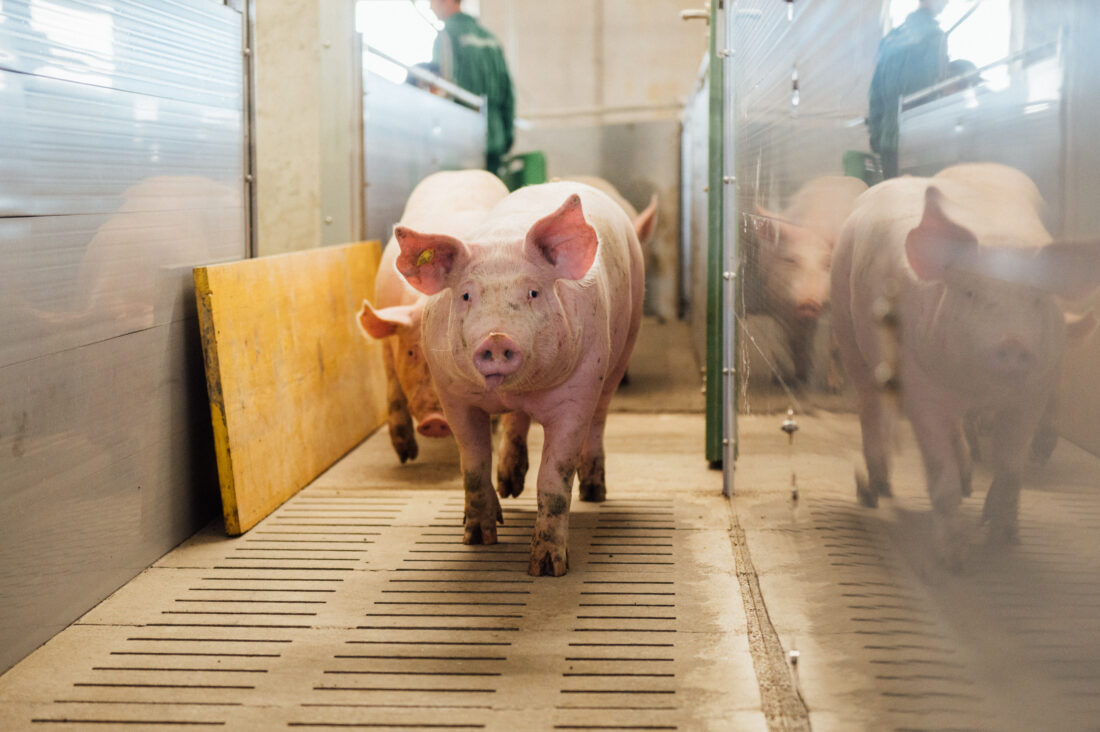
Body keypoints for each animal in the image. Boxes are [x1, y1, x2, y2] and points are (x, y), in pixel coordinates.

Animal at [392, 181, 645, 576]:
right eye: (466, 295)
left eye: (533, 292)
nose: (496, 338)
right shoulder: (452, 394)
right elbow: (473, 464)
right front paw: (477, 539)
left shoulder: (579, 391)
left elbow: (554, 477)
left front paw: (547, 568)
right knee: (516, 422)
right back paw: (509, 488)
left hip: (623, 346)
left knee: (599, 420)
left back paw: (594, 492)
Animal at [750, 176, 868, 383]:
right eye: (791, 259)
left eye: (828, 263)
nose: (809, 302)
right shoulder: (775, 298)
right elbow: (790, 337)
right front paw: (795, 376)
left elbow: (835, 344)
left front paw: (835, 385)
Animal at [830, 163, 1100, 566]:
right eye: (971, 293)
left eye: (1037, 299)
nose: (1013, 343)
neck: (979, 390)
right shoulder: (918, 386)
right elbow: (938, 469)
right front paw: (954, 560)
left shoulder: (1032, 394)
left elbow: (1010, 467)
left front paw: (1005, 538)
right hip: (846, 327)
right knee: (869, 405)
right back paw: (875, 490)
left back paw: (968, 481)